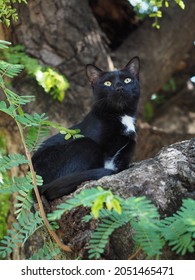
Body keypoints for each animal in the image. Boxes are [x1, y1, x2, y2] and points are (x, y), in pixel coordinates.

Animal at [32, 56, 141, 199]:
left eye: (127, 80)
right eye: (107, 83)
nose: (119, 88)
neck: (121, 115)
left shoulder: (129, 146)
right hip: (85, 143)